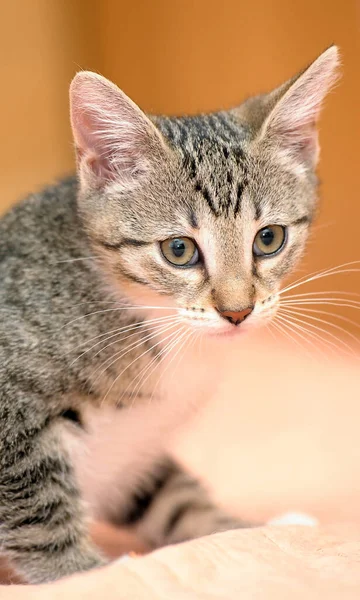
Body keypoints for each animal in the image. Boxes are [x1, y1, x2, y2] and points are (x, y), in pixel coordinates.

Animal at [0, 49, 338, 584]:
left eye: (269, 239)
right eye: (179, 250)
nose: (238, 310)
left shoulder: (132, 451)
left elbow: (172, 497)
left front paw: (248, 529)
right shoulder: (10, 404)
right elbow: (36, 503)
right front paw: (84, 573)